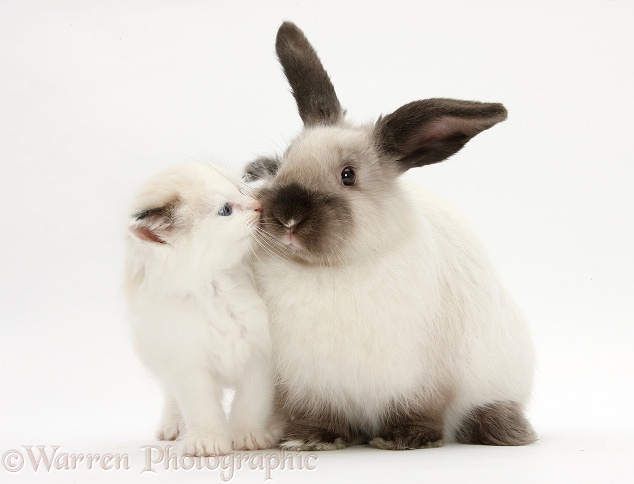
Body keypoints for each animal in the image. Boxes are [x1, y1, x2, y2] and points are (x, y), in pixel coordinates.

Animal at [123, 164, 274, 456]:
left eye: (240, 190)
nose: (259, 205)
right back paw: (172, 426)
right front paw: (207, 441)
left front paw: (248, 435)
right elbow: (200, 409)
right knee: (170, 395)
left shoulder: (260, 356)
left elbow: (251, 402)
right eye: (226, 210)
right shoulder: (186, 363)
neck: (214, 289)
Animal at [242, 20, 532, 452]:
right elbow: (317, 413)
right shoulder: (308, 381)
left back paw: (505, 428)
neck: (332, 271)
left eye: (348, 175)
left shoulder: (423, 378)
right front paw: (312, 439)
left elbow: (420, 408)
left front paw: (404, 439)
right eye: (283, 163)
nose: (288, 216)